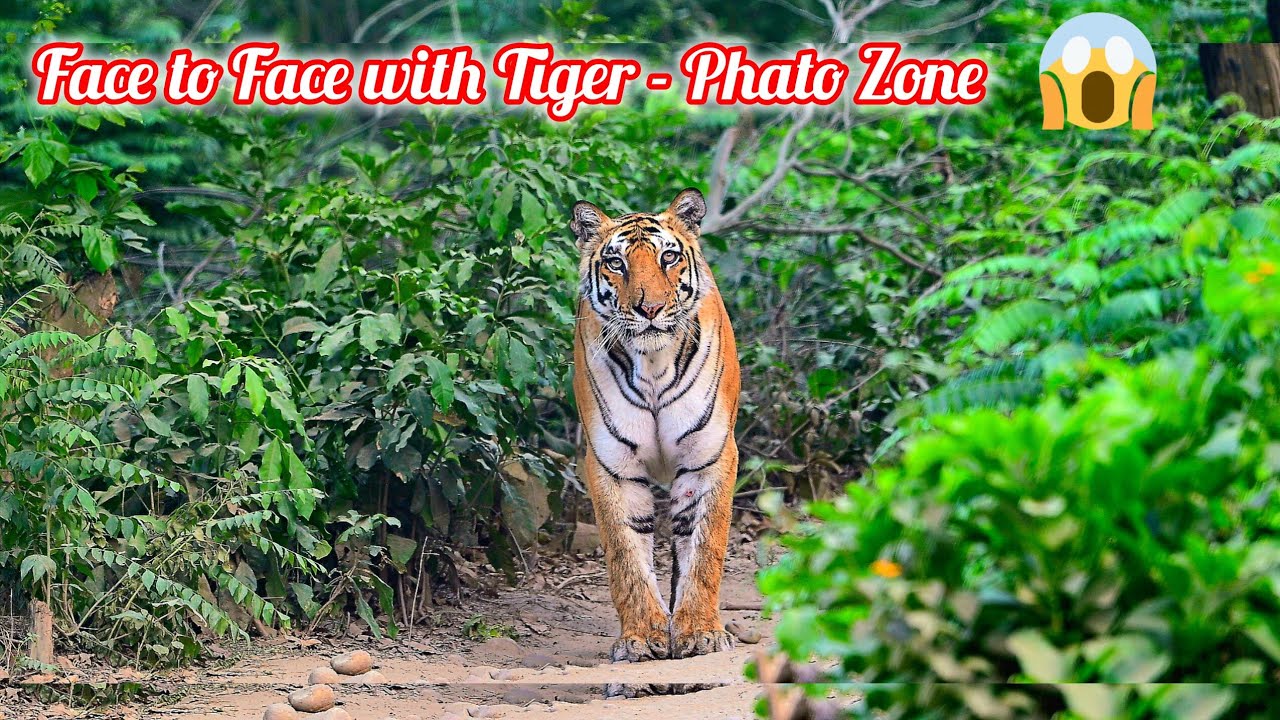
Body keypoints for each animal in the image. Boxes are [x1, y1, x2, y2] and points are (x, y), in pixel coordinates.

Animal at [570, 188, 741, 662]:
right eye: (616, 263)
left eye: (668, 257)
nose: (649, 308)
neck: (653, 365)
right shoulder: (613, 465)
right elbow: (626, 555)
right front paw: (643, 636)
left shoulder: (709, 458)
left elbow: (703, 551)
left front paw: (700, 633)